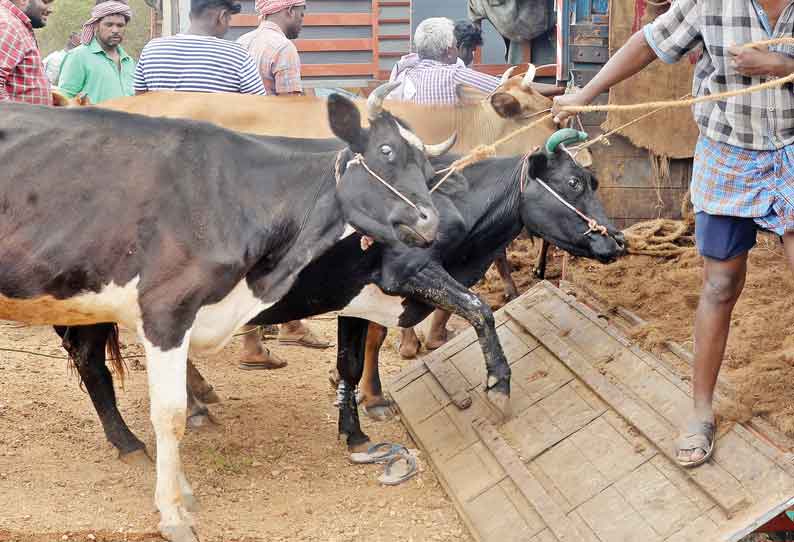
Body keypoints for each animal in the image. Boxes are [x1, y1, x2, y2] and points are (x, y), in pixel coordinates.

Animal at [0, 82, 448, 542]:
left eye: (428, 169)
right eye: (386, 151)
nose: (430, 222)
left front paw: (180, 491)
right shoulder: (165, 311)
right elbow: (169, 414)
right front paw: (173, 512)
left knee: (89, 360)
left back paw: (128, 445)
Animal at [55, 131, 624, 460]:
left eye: (594, 179)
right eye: (575, 183)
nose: (616, 239)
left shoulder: (357, 297)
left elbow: (351, 362)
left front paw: (354, 433)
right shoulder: (410, 272)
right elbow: (480, 308)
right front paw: (499, 386)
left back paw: (194, 406)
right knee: (92, 365)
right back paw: (130, 443)